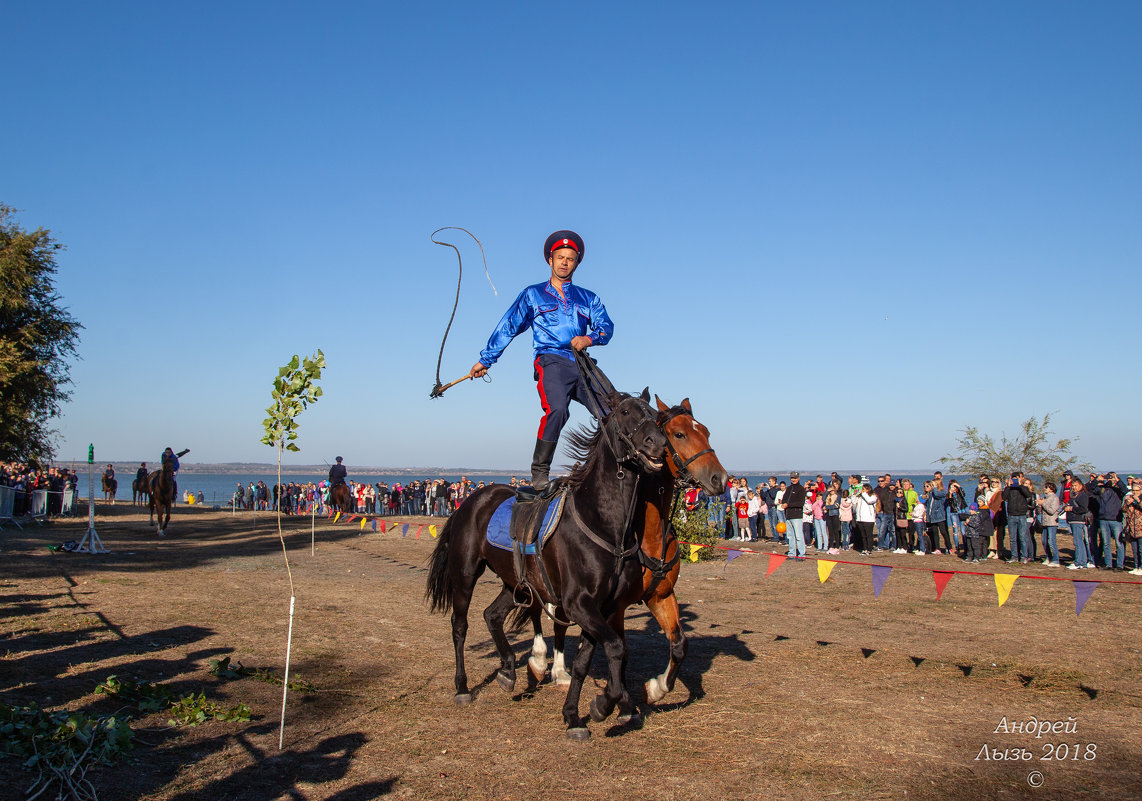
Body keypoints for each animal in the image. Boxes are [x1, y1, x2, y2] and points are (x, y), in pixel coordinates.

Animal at [424, 388, 666, 735]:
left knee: (492, 615)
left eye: (654, 414)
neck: (605, 524)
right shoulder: (579, 604)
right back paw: (462, 687)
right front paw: (605, 704)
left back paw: (508, 670)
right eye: (624, 413)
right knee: (460, 625)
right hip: (465, 573)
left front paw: (574, 715)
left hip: (515, 582)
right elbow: (617, 648)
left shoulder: (603, 606)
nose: (657, 442)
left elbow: (585, 661)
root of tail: (471, 500)